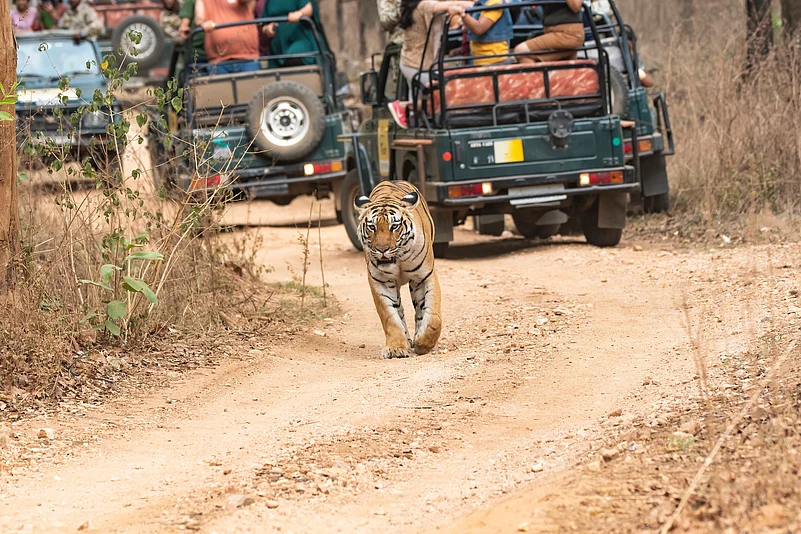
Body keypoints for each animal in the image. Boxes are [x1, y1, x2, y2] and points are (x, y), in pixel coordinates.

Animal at [354, 180, 442, 359]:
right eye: (372, 227)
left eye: (394, 226)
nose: (382, 249)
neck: (398, 260)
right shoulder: (381, 281)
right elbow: (390, 316)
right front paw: (396, 348)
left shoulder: (425, 277)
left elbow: (433, 316)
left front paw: (423, 343)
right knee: (400, 310)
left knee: (419, 310)